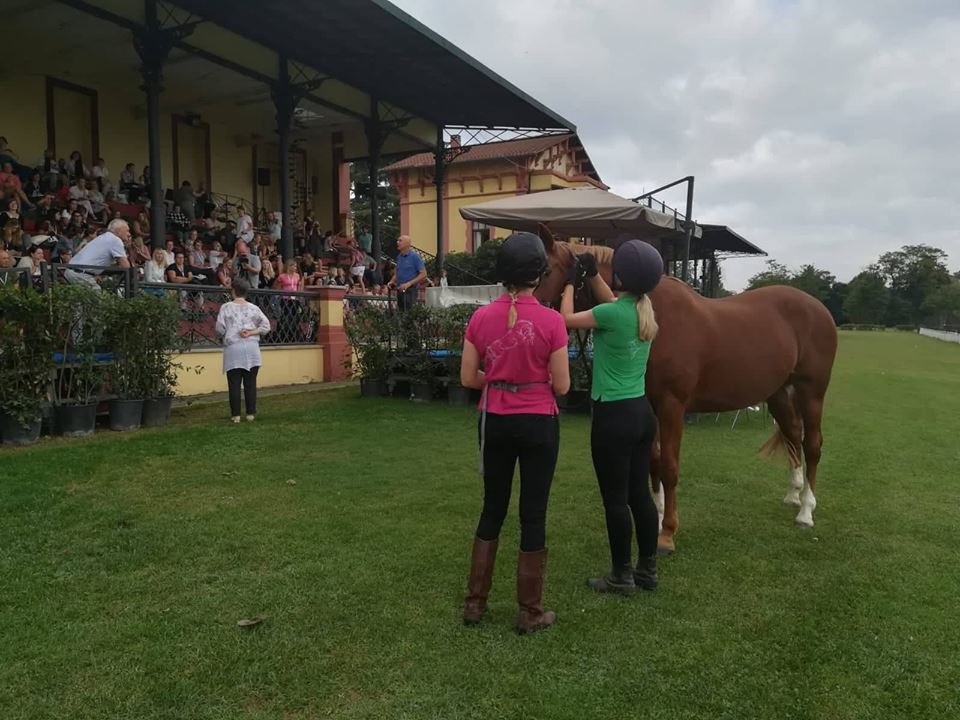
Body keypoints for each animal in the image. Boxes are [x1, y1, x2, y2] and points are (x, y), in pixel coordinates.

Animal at [536, 239, 836, 556]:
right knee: (792, 435)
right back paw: (793, 494)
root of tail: (818, 308)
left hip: (811, 392)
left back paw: (806, 511)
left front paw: (667, 533)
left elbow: (669, 467)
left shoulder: (672, 406)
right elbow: (654, 464)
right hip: (777, 394)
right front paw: (656, 522)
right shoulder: (652, 407)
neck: (654, 316)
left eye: (547, 271)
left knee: (812, 445)